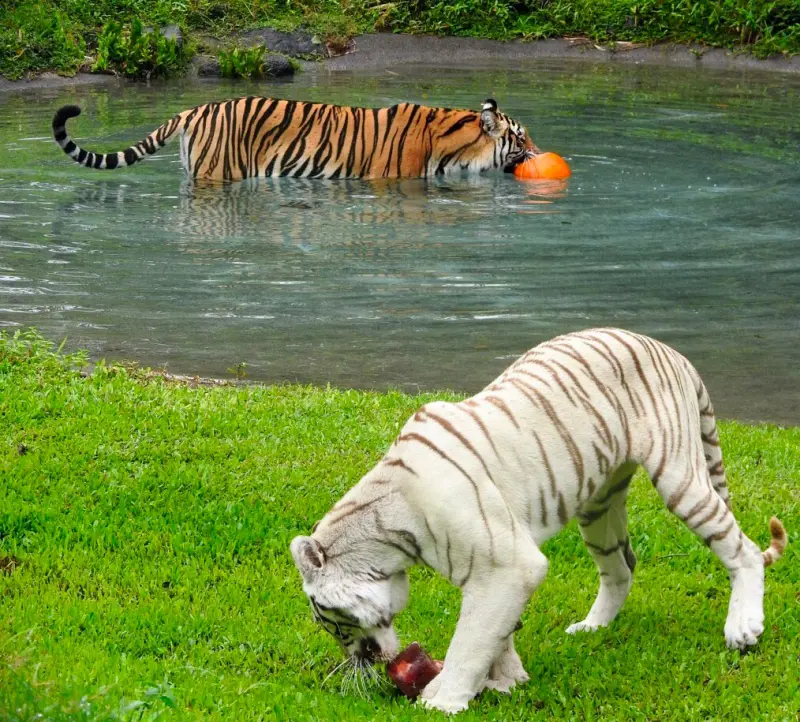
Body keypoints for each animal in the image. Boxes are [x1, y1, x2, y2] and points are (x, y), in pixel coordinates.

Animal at [290, 330, 788, 712]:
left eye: (334, 624)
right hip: (598, 506)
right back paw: (591, 628)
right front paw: (507, 681)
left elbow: (471, 639)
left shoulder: (507, 566)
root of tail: (672, 351)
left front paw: (444, 700)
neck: (389, 539)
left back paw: (743, 628)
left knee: (743, 550)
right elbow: (497, 632)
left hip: (680, 477)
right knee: (621, 568)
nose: (361, 660)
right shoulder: (495, 574)